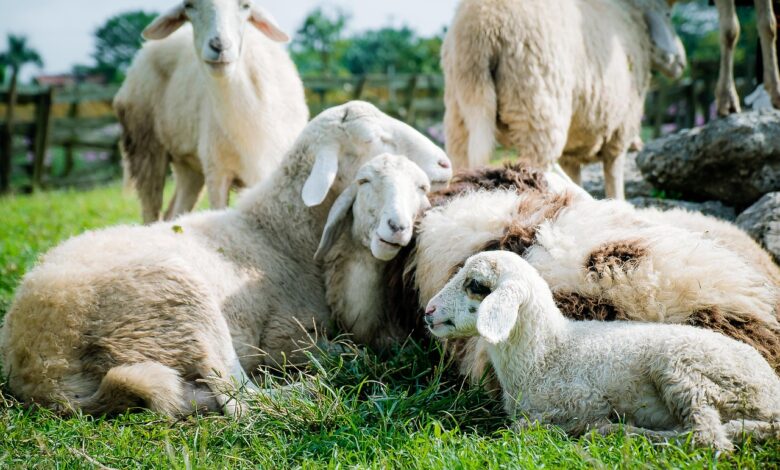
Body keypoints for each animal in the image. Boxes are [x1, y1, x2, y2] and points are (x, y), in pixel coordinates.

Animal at [0, 101, 452, 417]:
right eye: (377, 139)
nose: (446, 162)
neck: (276, 230)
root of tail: (40, 369)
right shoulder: (284, 336)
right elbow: (349, 351)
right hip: (181, 302)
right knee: (240, 399)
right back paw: (313, 391)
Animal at [114, 0, 308, 224]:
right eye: (189, 5)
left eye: (246, 5)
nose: (219, 45)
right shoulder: (217, 172)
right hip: (146, 148)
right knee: (151, 213)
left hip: (188, 165)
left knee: (175, 212)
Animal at [425, 251, 780, 451]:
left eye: (476, 285)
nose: (428, 311)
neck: (547, 353)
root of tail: (770, 390)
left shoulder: (582, 400)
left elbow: (529, 426)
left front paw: (589, 428)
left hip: (685, 369)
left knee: (707, 438)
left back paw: (622, 432)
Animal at [441, 0, 686, 199]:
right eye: (668, 14)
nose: (681, 62)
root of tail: (481, 28)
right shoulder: (621, 127)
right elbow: (614, 176)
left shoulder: (573, 148)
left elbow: (575, 175)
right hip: (537, 103)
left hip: (461, 108)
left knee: (462, 158)